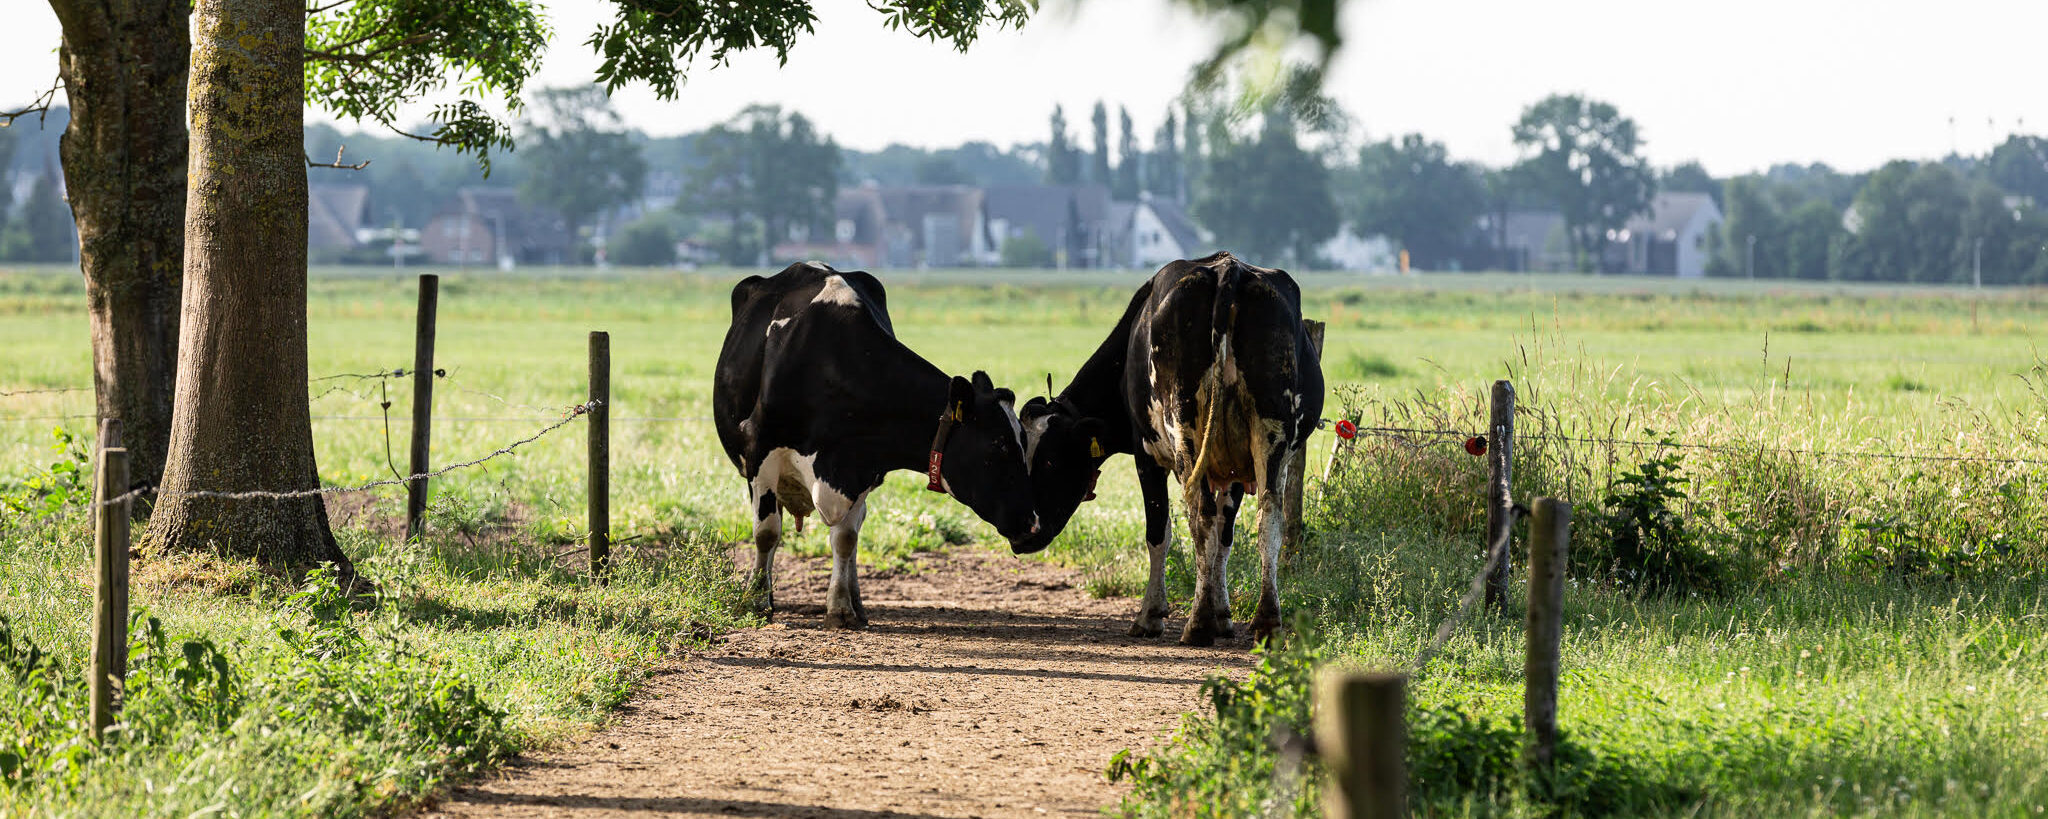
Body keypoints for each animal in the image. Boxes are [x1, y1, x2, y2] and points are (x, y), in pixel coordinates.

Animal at [716, 261, 1040, 626]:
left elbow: (846, 538)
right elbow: (766, 532)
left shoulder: (863, 464)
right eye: (997, 445)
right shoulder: (761, 452)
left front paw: (841, 608)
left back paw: (856, 601)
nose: (1032, 523)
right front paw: (756, 602)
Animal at [1011, 250, 1327, 647]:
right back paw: (1266, 621)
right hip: (1270, 434)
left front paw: (1152, 614)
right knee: (1268, 516)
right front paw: (1222, 614)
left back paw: (1197, 624)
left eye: (1050, 462)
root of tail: (1229, 270)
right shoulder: (1234, 468)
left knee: (1200, 515)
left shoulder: (1147, 456)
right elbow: (1225, 537)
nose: (1022, 534)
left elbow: (1159, 532)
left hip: (1185, 429)